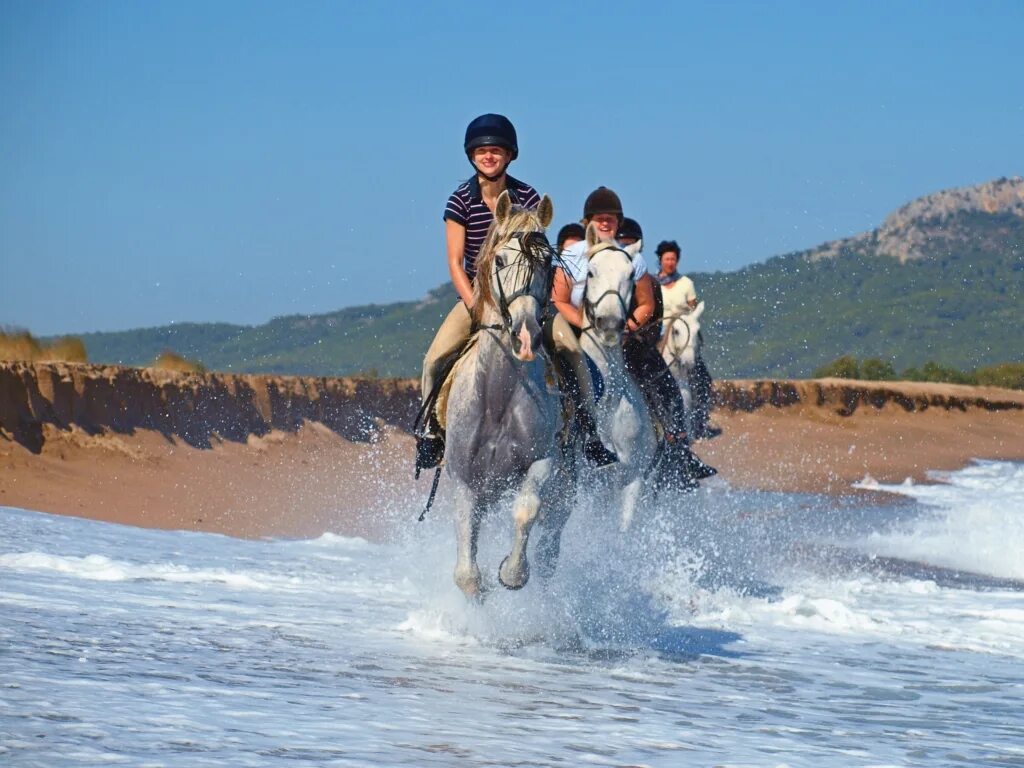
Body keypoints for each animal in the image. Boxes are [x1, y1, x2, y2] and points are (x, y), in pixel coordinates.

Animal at [443, 190, 561, 600]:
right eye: (500, 259)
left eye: (548, 263)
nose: (526, 337)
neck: (495, 399)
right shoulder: (463, 478)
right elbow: (466, 572)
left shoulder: (543, 461)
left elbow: (527, 508)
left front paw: (512, 573)